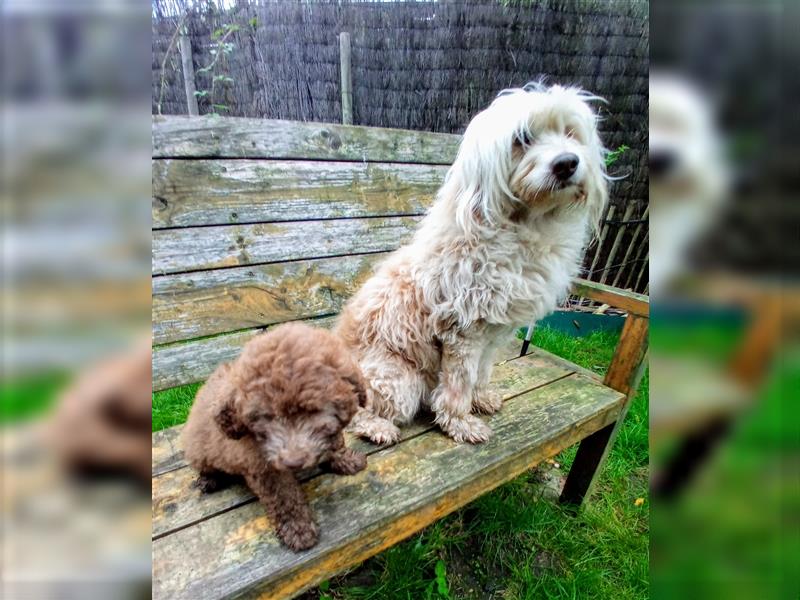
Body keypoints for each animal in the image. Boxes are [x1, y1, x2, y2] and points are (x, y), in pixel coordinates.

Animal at [183, 326, 368, 552]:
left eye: (312, 411)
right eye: (266, 417)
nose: (293, 461)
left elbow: (335, 441)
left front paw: (345, 459)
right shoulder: (263, 465)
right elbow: (284, 497)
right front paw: (298, 529)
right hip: (198, 450)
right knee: (205, 465)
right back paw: (209, 480)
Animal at [334, 82, 608, 442]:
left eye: (570, 132)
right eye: (522, 138)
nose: (566, 163)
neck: (524, 226)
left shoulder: (491, 335)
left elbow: (482, 372)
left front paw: (480, 399)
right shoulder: (462, 332)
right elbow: (458, 384)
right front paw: (459, 422)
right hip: (399, 380)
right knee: (353, 414)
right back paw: (379, 428)